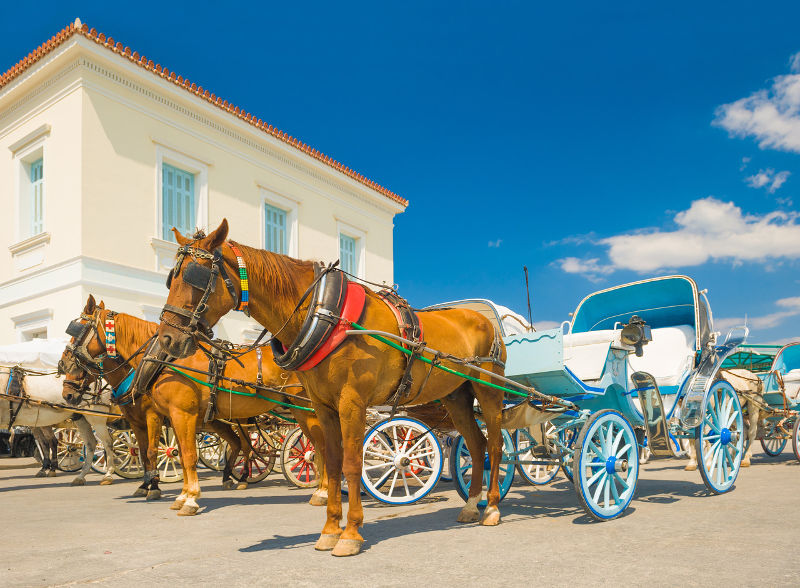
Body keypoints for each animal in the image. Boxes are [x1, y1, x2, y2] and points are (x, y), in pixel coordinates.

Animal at [59, 296, 328, 512]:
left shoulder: (169, 415)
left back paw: (321, 490)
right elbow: (167, 452)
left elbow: (180, 454)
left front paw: (182, 496)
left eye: (78, 331)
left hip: (306, 411)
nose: (67, 392)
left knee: (319, 448)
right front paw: (171, 492)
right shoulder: (161, 418)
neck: (162, 362)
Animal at [155, 220, 506, 556]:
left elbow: (352, 463)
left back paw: (491, 508)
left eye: (196, 276)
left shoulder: (352, 402)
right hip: (456, 397)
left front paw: (350, 534)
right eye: (171, 278)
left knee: (494, 444)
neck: (326, 314)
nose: (168, 339)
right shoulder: (324, 406)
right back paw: (471, 505)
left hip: (489, 391)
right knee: (475, 445)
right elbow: (332, 460)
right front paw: (329, 529)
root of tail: (486, 320)